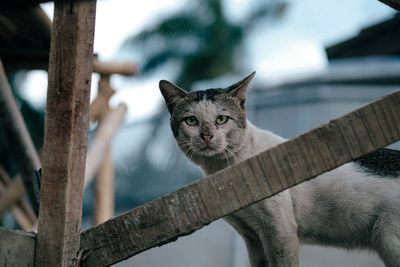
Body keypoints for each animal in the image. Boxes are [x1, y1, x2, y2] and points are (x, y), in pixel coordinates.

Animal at [159, 71, 400, 267]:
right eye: (191, 121)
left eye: (221, 119)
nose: (207, 135)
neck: (224, 172)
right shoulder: (252, 237)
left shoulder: (280, 231)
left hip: (388, 236)